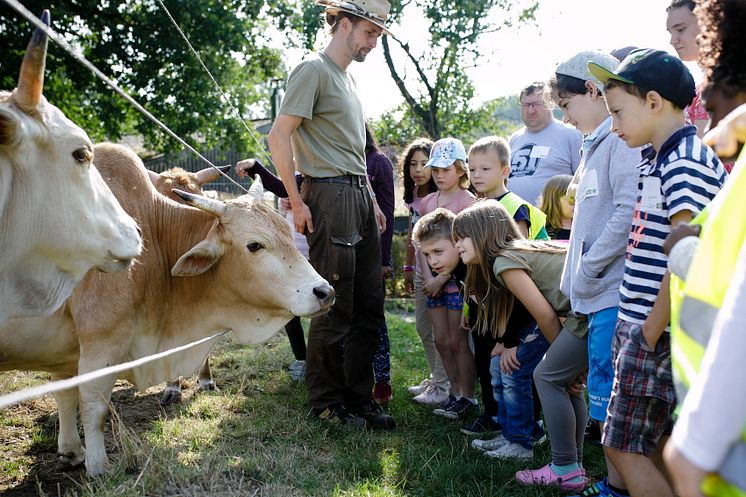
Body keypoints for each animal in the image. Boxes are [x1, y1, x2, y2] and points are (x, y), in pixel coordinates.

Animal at [0, 142, 332, 472]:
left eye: (289, 233)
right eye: (255, 245)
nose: (324, 291)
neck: (153, 240)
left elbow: (66, 395)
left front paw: (72, 451)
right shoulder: (100, 342)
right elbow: (93, 407)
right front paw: (98, 467)